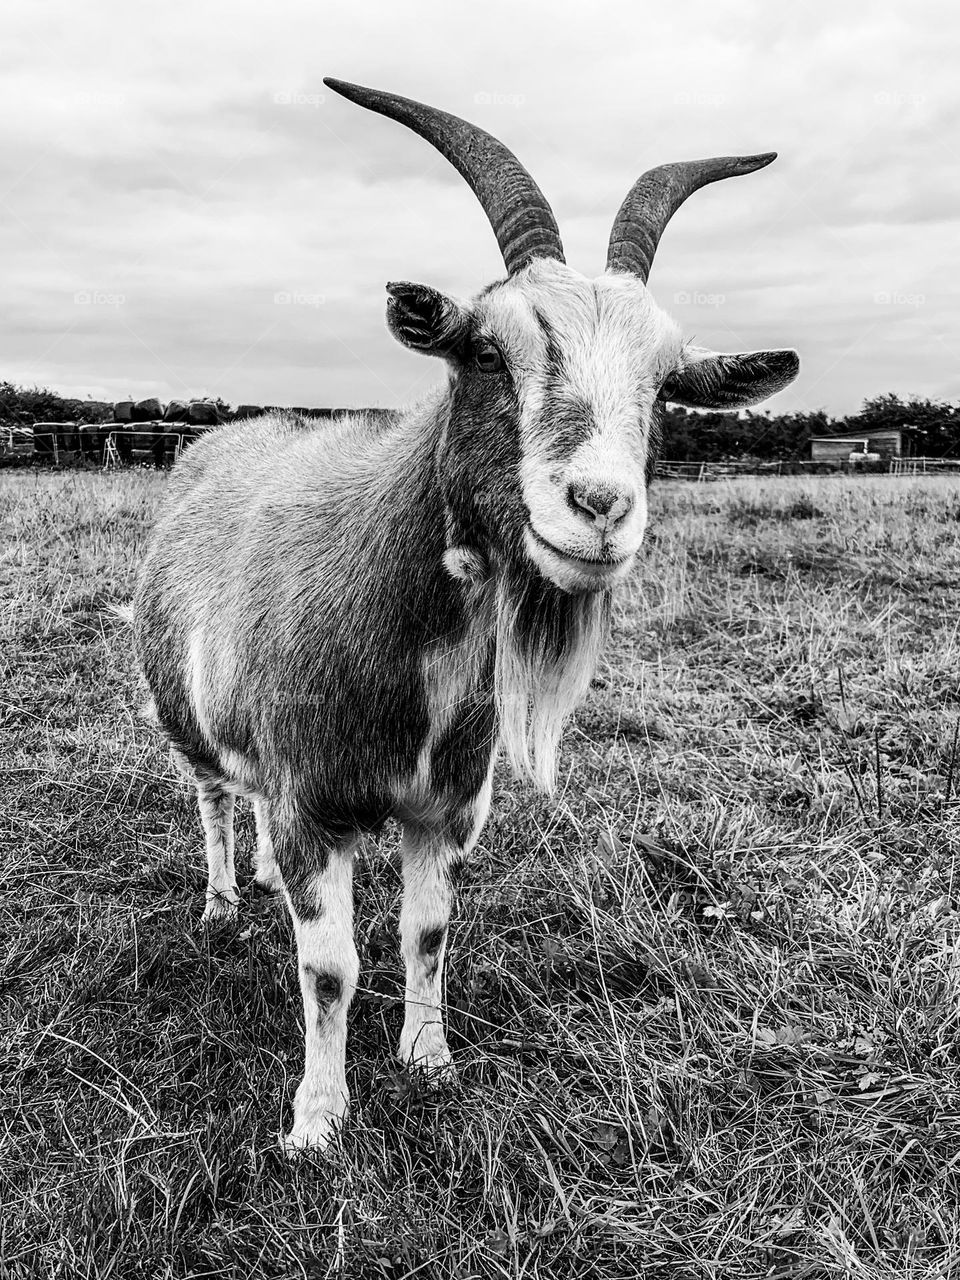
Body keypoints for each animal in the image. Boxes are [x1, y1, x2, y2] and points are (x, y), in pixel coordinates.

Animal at [133, 77, 799, 1152]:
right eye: (487, 349)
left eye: (665, 383)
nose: (599, 507)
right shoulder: (313, 806)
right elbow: (329, 969)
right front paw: (317, 1122)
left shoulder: (443, 807)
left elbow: (427, 930)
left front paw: (429, 1062)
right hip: (185, 720)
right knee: (212, 797)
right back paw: (226, 900)